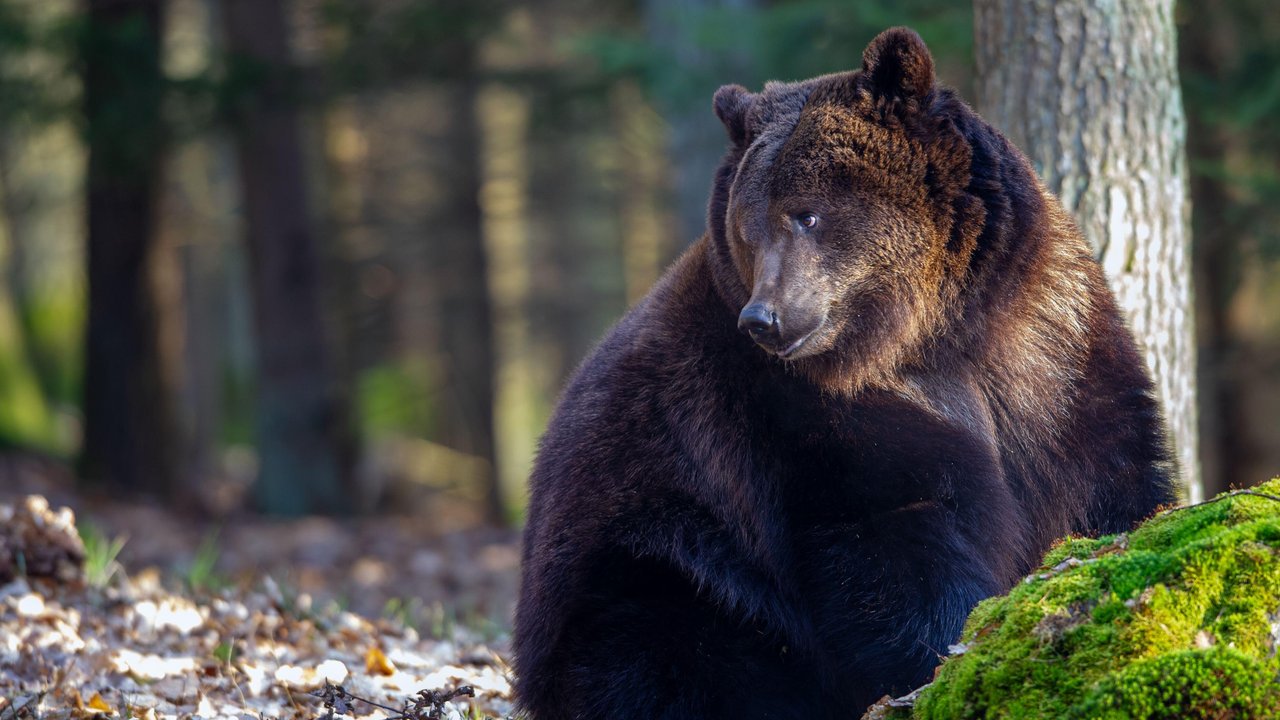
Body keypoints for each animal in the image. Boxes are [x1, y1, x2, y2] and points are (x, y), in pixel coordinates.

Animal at [514, 25, 1172, 712]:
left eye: (807, 213)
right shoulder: (801, 415)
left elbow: (1110, 475)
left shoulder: (1052, 349)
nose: (763, 318)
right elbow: (891, 540)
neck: (933, 334)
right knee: (658, 647)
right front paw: (942, 653)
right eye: (748, 229)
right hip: (654, 555)